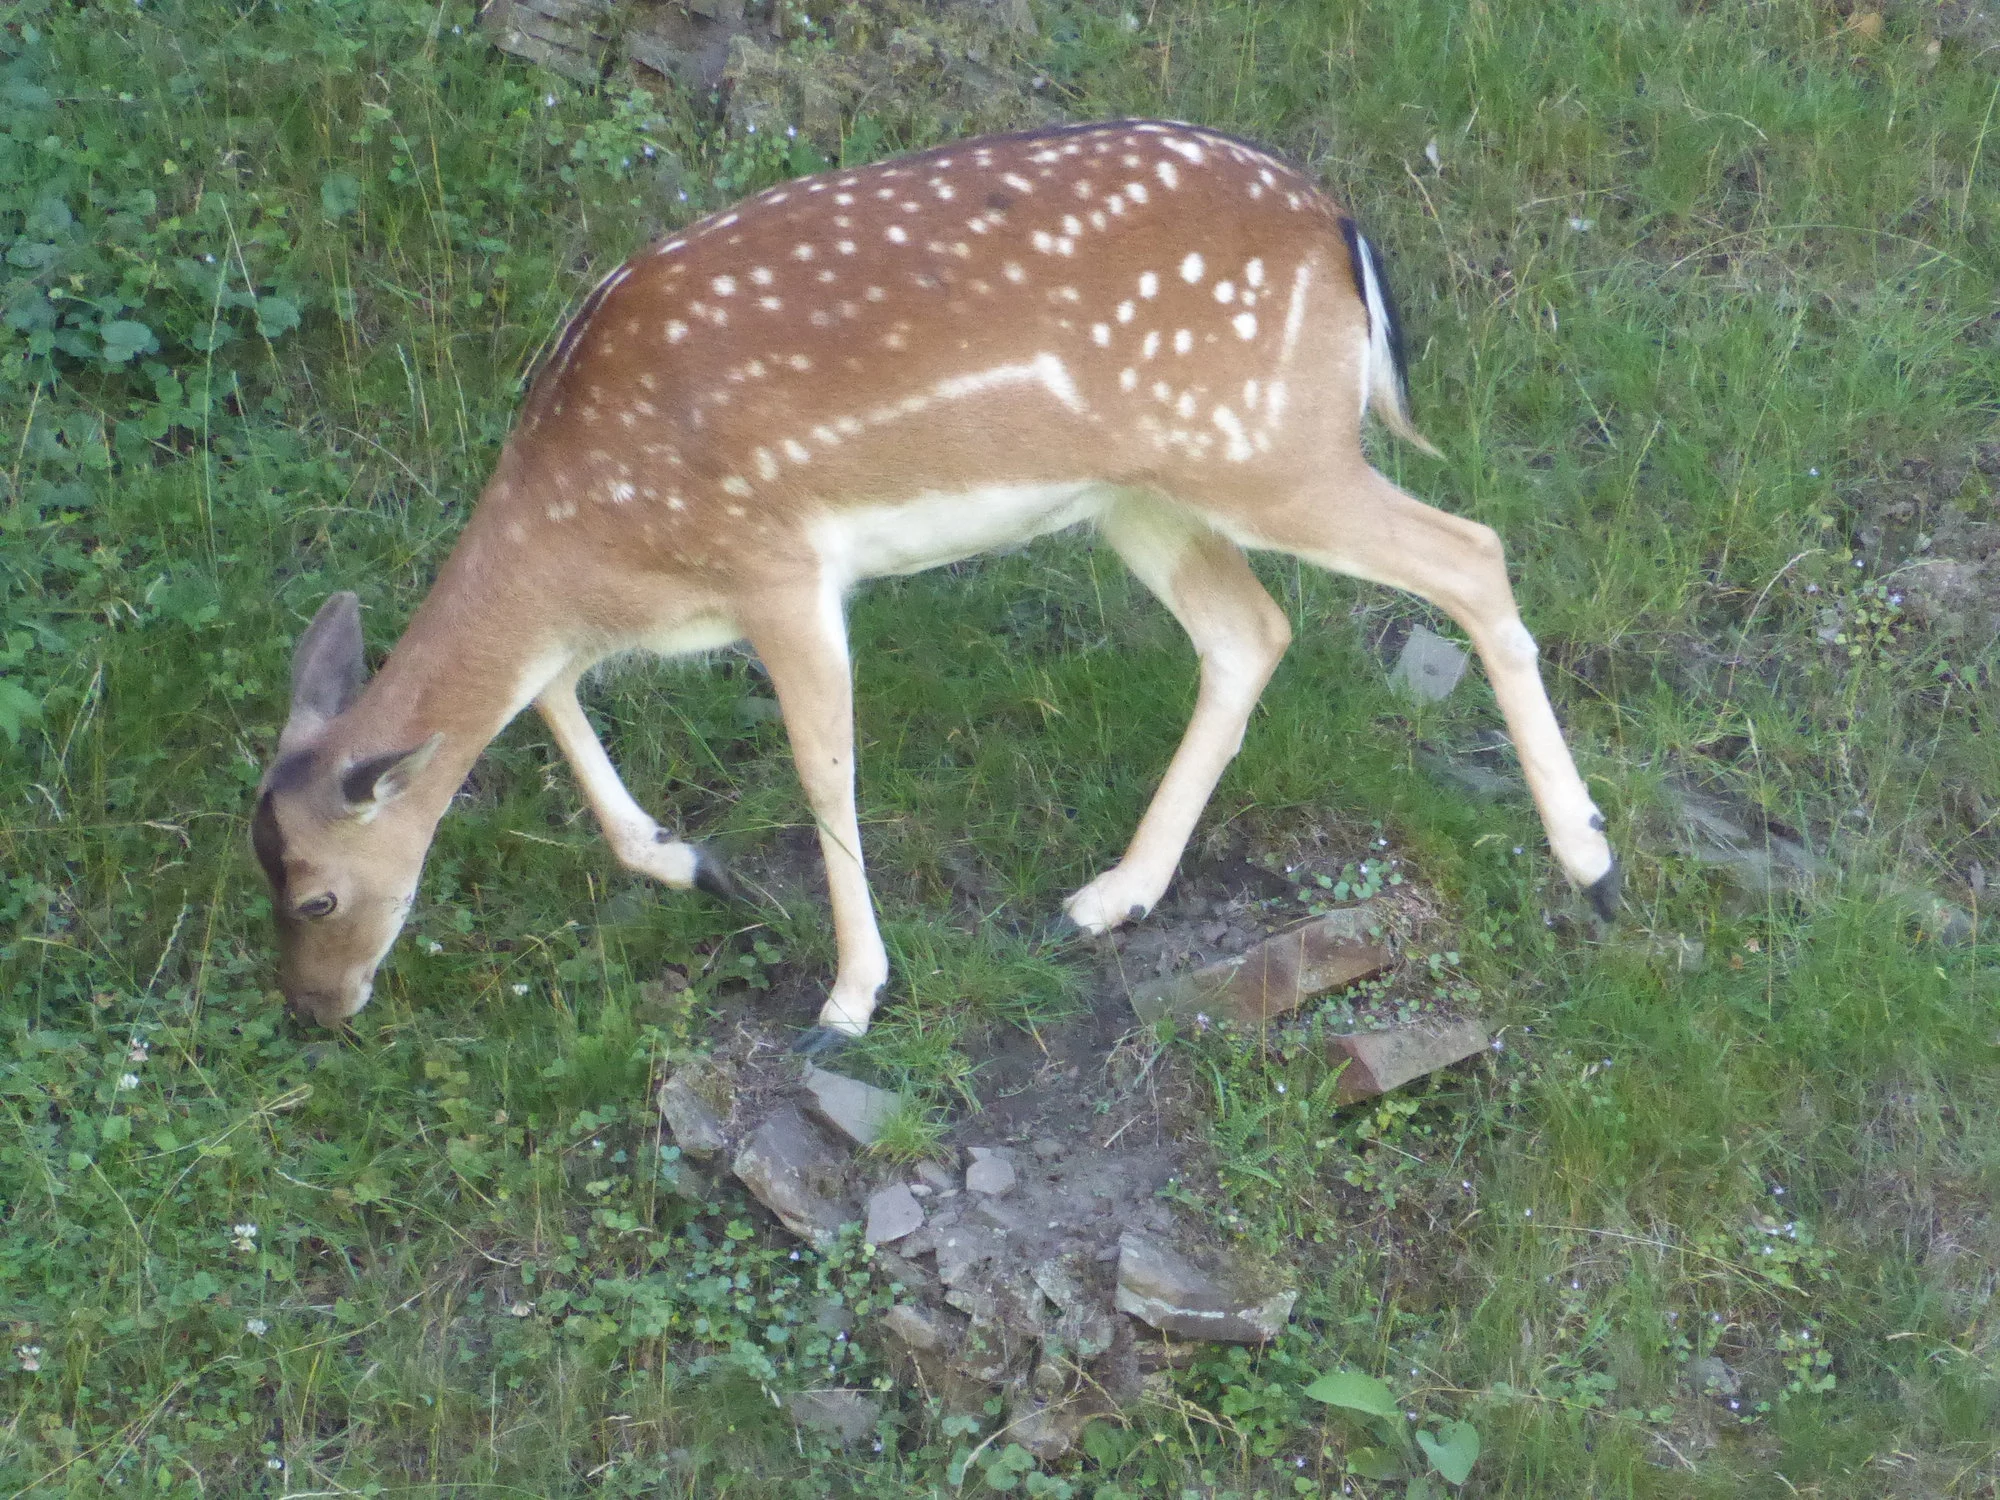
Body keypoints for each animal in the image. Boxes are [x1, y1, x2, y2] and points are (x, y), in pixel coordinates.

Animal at [252, 119, 1618, 1053]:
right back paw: (1108, 897)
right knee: (1251, 629)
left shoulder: (779, 566)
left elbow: (822, 768)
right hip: (1146, 492)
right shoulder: (637, 607)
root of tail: (1340, 233)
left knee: (1469, 549)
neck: (577, 520)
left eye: (315, 894)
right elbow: (548, 693)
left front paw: (847, 1002)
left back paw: (1589, 863)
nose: (314, 1010)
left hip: (1268, 453)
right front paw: (687, 864)